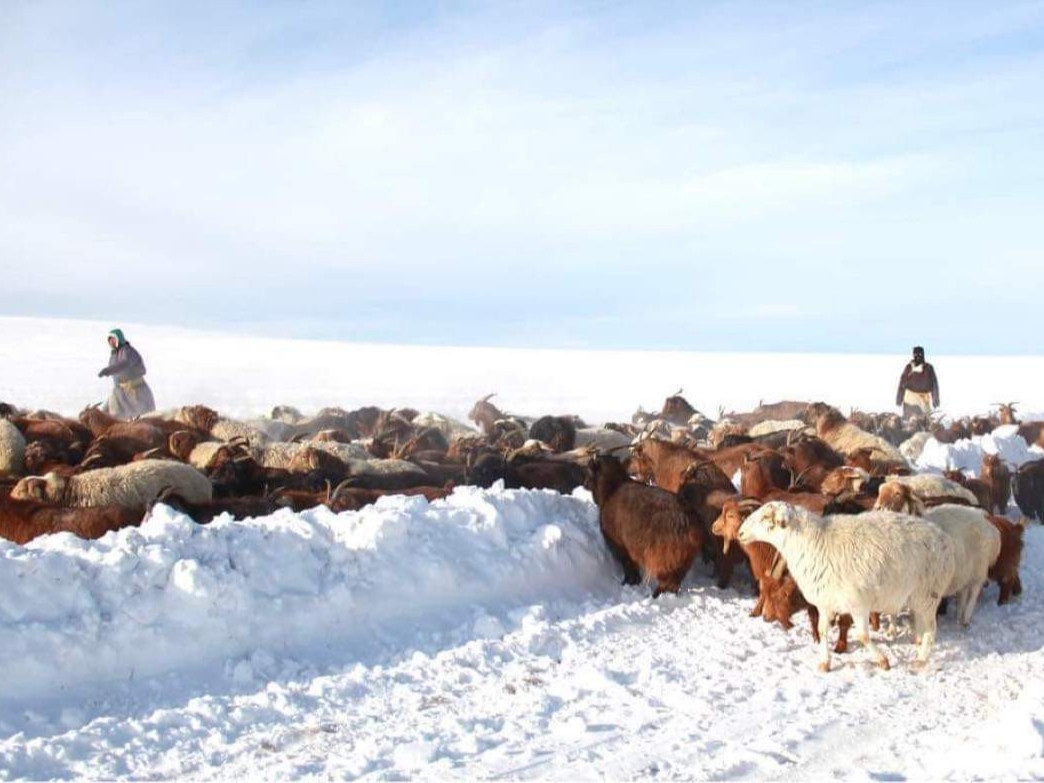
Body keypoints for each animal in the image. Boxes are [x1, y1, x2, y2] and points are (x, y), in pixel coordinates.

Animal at [734, 503, 956, 676]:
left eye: (765, 517)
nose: (740, 533)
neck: (812, 543)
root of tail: (944, 538)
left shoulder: (858, 604)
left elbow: (862, 636)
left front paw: (882, 660)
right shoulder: (825, 603)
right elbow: (822, 630)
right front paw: (825, 663)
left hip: (928, 594)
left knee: (931, 629)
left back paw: (921, 659)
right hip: (919, 598)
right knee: (922, 626)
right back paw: (918, 648)